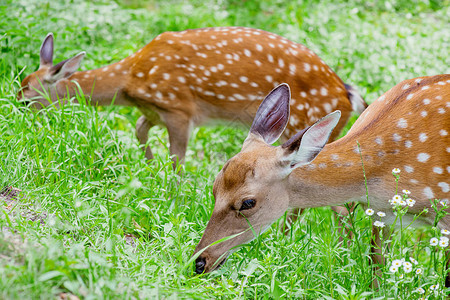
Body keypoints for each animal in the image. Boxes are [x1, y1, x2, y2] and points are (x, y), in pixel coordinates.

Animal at [17, 27, 366, 164]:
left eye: (27, 98)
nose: (16, 116)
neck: (129, 80)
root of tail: (348, 96)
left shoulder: (179, 108)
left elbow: (177, 160)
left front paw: (172, 193)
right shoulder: (155, 110)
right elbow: (139, 130)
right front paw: (148, 166)